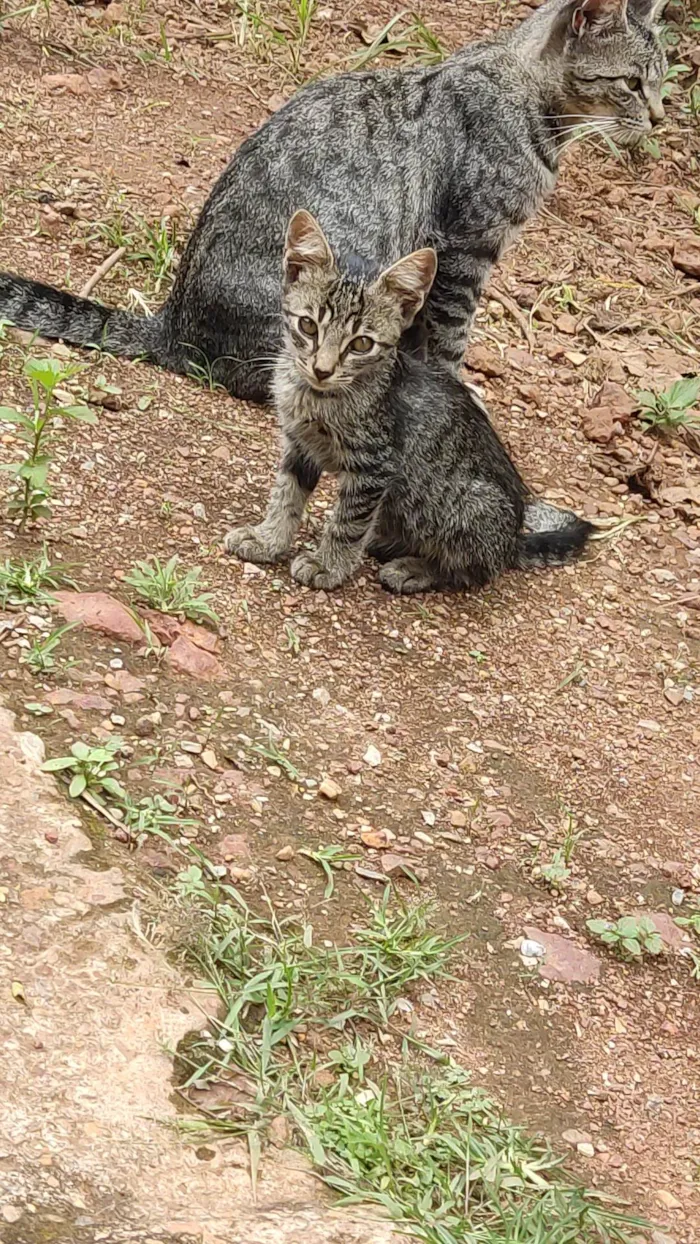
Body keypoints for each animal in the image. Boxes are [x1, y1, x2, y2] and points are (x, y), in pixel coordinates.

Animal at [0, 0, 666, 400]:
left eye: (660, 82)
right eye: (632, 83)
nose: (661, 116)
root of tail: (173, 324)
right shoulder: (466, 248)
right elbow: (451, 336)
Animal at [227, 215, 594, 597]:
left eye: (361, 344)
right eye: (308, 326)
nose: (322, 369)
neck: (316, 396)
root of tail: (512, 540)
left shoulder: (375, 465)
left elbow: (348, 522)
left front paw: (327, 565)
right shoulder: (300, 446)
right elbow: (286, 496)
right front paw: (268, 539)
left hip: (472, 505)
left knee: (474, 569)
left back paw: (413, 569)